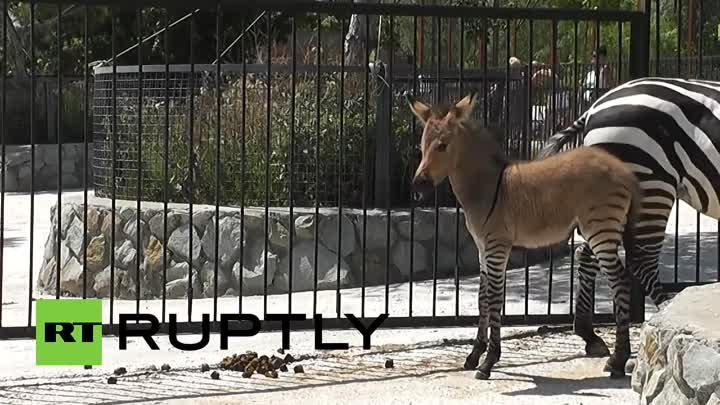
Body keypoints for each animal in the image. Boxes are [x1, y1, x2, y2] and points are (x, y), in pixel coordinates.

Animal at [404, 90, 640, 378]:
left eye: (442, 146)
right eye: (421, 147)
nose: (417, 185)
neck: (485, 187)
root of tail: (622, 170)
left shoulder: (497, 247)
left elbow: (494, 299)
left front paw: (489, 361)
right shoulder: (483, 249)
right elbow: (483, 299)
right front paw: (475, 355)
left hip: (600, 228)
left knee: (620, 281)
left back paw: (618, 360)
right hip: (603, 229)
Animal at [540, 76, 720, 356]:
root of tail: (594, 108)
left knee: (589, 253)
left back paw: (589, 334)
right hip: (651, 182)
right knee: (641, 262)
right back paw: (664, 317)